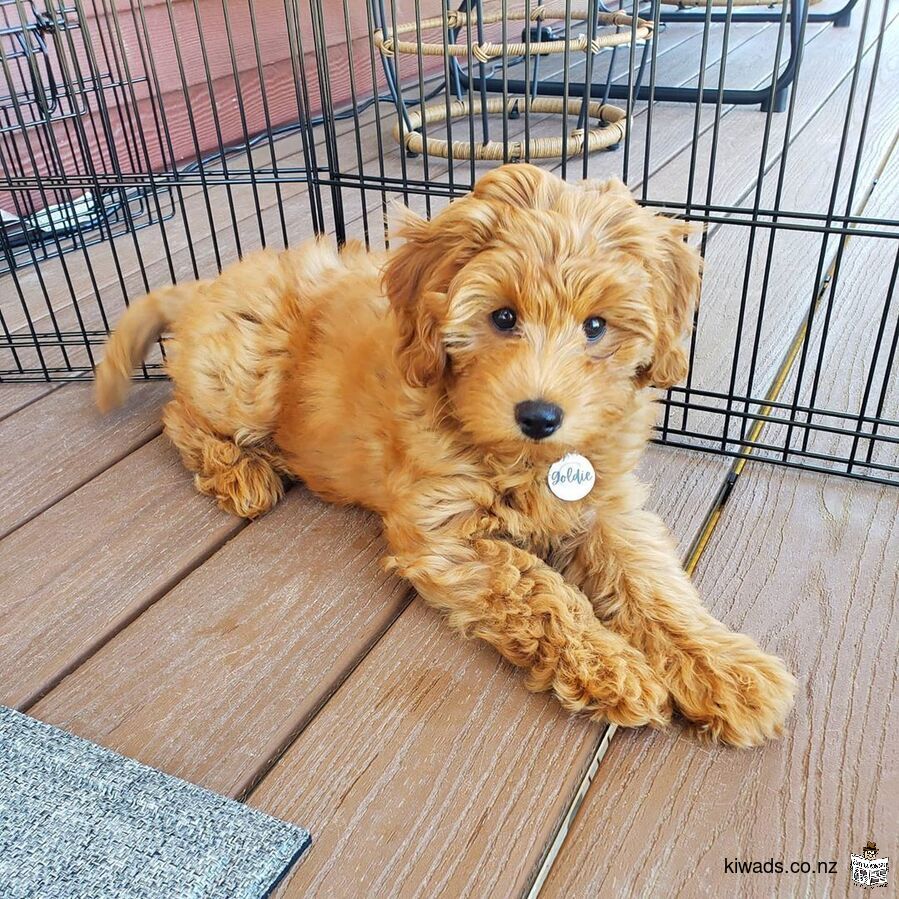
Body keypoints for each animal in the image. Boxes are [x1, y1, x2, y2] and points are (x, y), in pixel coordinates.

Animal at [98, 162, 800, 744]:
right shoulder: (443, 532)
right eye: (503, 317)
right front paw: (611, 667)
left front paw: (725, 669)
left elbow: (652, 582)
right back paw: (239, 471)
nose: (539, 415)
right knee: (177, 414)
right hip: (248, 371)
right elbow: (534, 586)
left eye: (596, 326)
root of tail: (208, 285)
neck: (523, 459)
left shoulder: (609, 505)